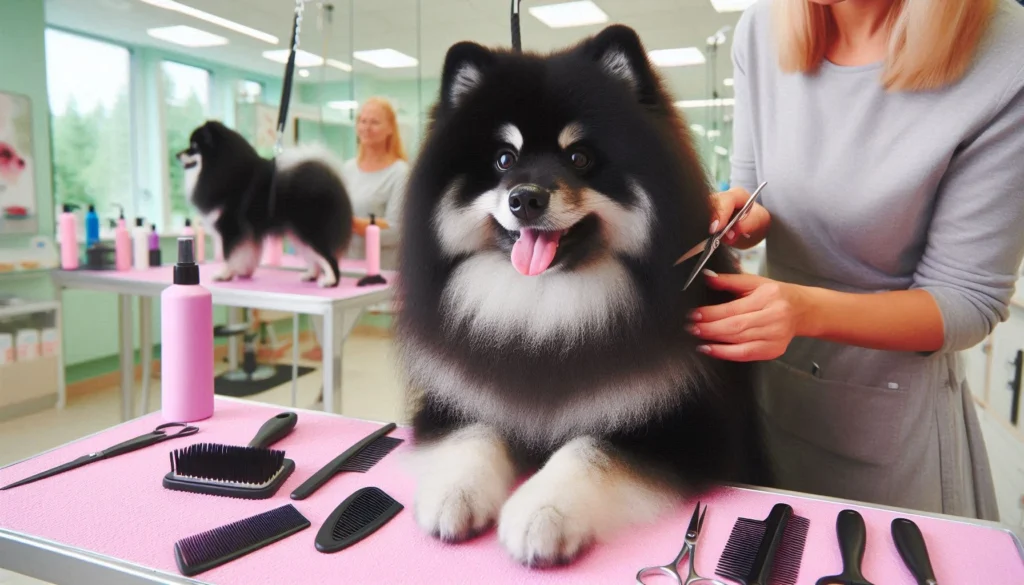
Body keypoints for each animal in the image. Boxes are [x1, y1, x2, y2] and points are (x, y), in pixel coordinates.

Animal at [176, 120, 352, 286]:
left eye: (193, 147)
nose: (177, 154)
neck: (221, 170)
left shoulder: (230, 228)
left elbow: (228, 255)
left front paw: (224, 274)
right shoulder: (246, 233)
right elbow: (245, 254)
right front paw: (243, 272)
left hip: (310, 231)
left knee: (329, 258)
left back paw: (330, 281)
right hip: (298, 234)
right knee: (314, 257)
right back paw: (311, 275)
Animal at [395, 25, 770, 569]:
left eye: (580, 157)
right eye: (504, 159)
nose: (525, 198)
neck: (547, 306)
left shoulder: (689, 430)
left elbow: (589, 449)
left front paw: (543, 511)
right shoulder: (459, 397)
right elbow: (475, 429)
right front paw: (454, 491)